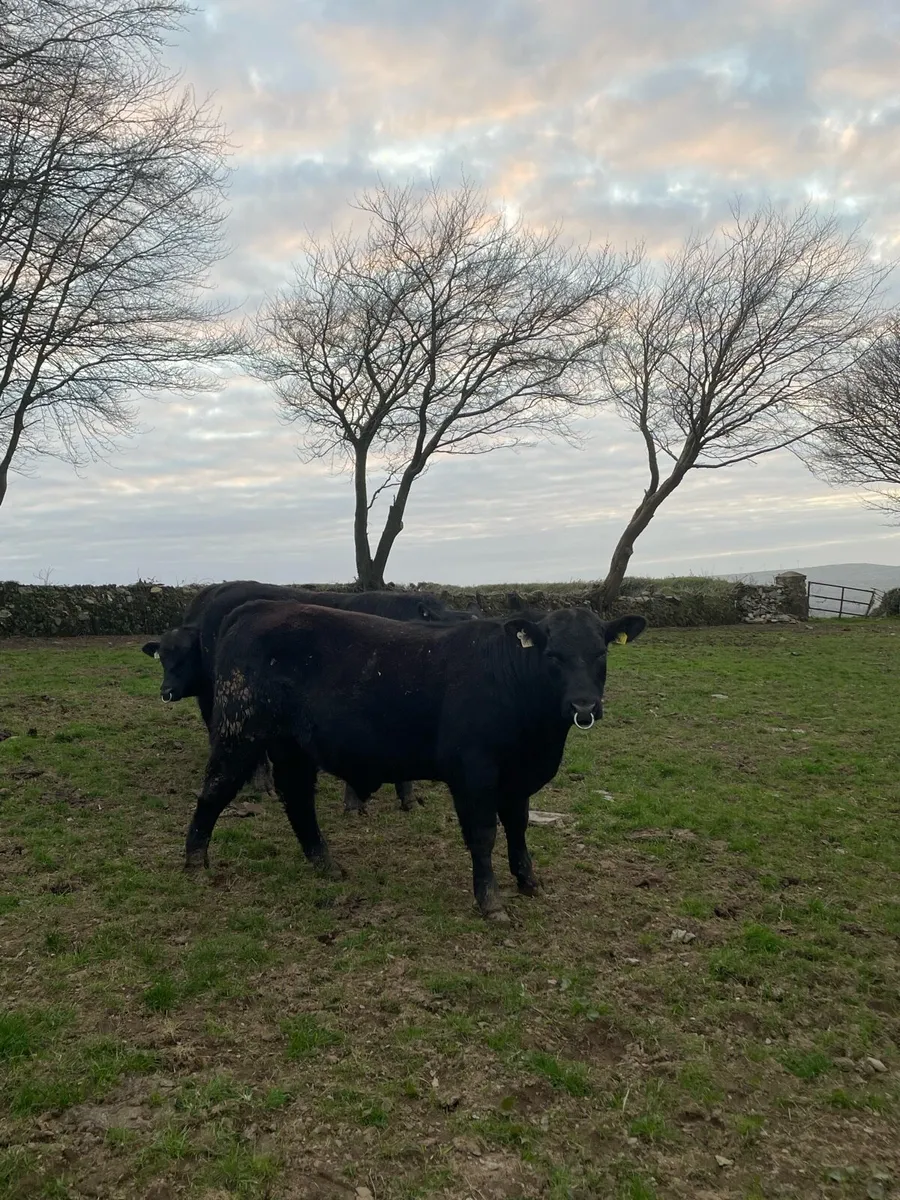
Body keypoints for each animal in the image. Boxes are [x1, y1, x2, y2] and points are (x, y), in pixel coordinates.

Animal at [182, 601, 646, 921]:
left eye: (601, 653)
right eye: (553, 656)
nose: (583, 705)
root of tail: (256, 607)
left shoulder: (517, 778)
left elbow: (518, 828)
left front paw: (529, 881)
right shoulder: (473, 773)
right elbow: (484, 836)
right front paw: (491, 901)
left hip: (291, 745)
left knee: (297, 798)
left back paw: (325, 863)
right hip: (239, 732)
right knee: (214, 791)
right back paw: (195, 864)